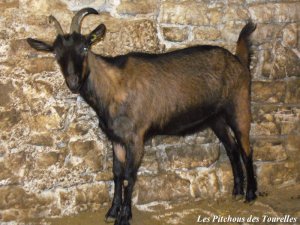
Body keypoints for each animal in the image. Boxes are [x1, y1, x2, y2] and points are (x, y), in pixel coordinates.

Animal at [27, 7, 256, 225]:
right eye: (56, 53)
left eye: (84, 47)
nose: (73, 82)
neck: (113, 88)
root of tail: (238, 60)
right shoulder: (116, 139)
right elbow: (117, 173)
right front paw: (112, 212)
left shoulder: (136, 138)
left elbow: (130, 175)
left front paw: (124, 216)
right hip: (215, 118)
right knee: (232, 148)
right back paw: (236, 191)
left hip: (239, 106)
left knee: (246, 148)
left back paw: (250, 194)